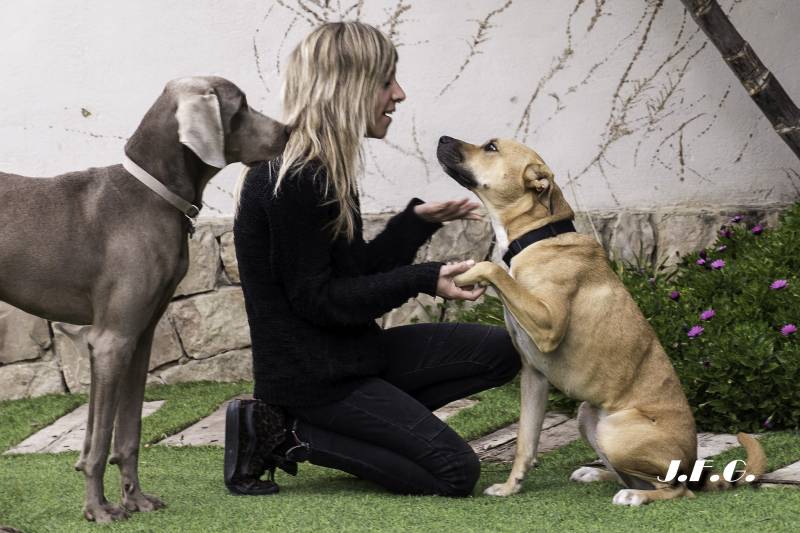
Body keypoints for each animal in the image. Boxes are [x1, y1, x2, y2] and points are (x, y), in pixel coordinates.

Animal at [0, 75, 288, 520]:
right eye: (240, 107)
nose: (289, 131)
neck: (153, 195)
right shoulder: (111, 340)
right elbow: (101, 438)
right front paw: (98, 509)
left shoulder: (140, 338)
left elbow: (128, 431)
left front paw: (134, 499)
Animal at [438, 135, 768, 504]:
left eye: (491, 148)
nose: (442, 138)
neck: (539, 235)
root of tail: (690, 467)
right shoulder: (534, 375)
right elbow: (525, 441)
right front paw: (512, 487)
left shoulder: (548, 325)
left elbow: (491, 267)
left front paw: (465, 275)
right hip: (587, 416)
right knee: (635, 477)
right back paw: (595, 474)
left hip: (616, 432)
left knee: (675, 491)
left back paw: (636, 496)